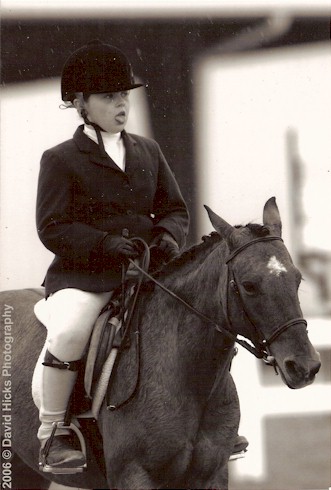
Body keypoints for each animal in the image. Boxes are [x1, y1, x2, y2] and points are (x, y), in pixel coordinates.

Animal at [0, 199, 322, 490]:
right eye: (249, 286)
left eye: (297, 279)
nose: (305, 367)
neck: (190, 378)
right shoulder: (134, 475)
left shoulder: (212, 475)